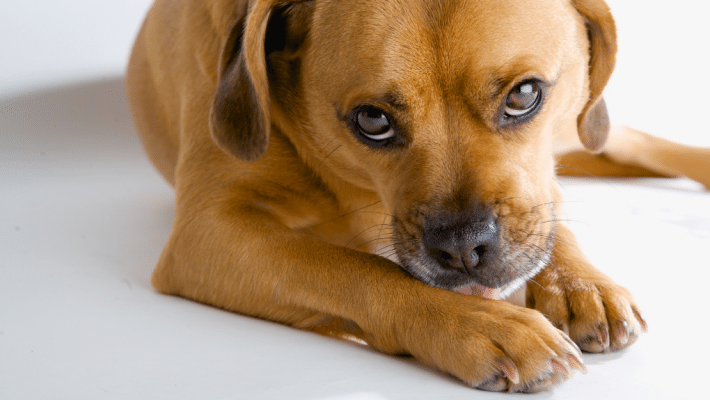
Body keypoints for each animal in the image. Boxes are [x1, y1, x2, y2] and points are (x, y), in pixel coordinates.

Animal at [126, 0, 710, 394]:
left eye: (524, 94)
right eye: (372, 121)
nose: (464, 248)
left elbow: (544, 206)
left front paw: (575, 281)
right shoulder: (208, 231)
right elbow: (357, 270)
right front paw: (479, 324)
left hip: (584, 128)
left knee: (633, 144)